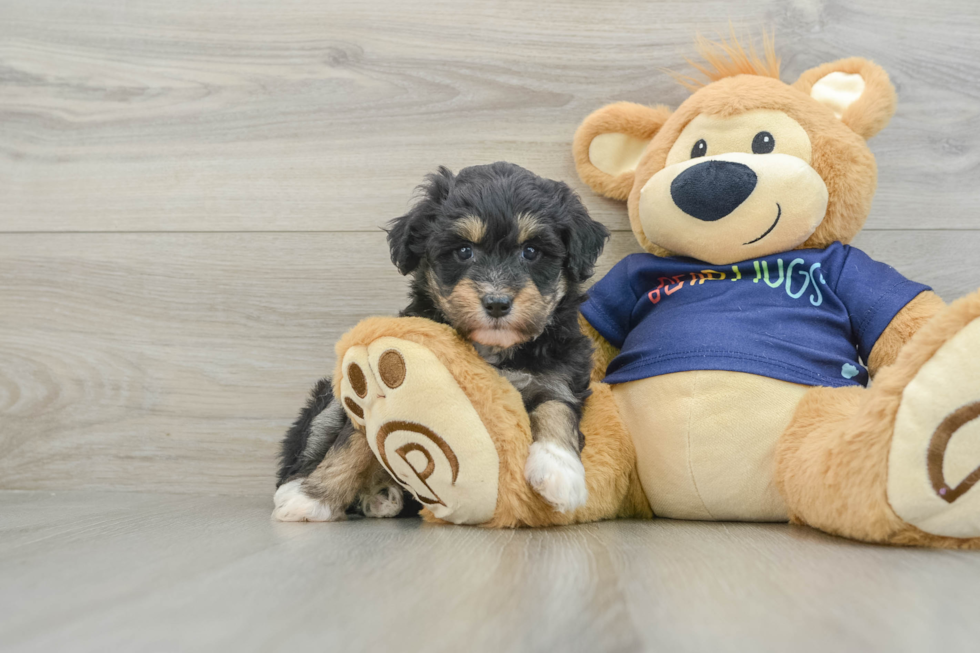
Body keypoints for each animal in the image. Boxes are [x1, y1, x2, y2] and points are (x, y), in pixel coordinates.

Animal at [276, 162, 608, 520]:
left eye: (531, 251)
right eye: (464, 251)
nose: (496, 303)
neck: (493, 350)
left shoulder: (561, 374)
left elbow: (556, 409)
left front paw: (560, 472)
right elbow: (351, 443)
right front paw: (312, 497)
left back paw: (381, 495)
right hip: (330, 401)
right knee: (312, 444)